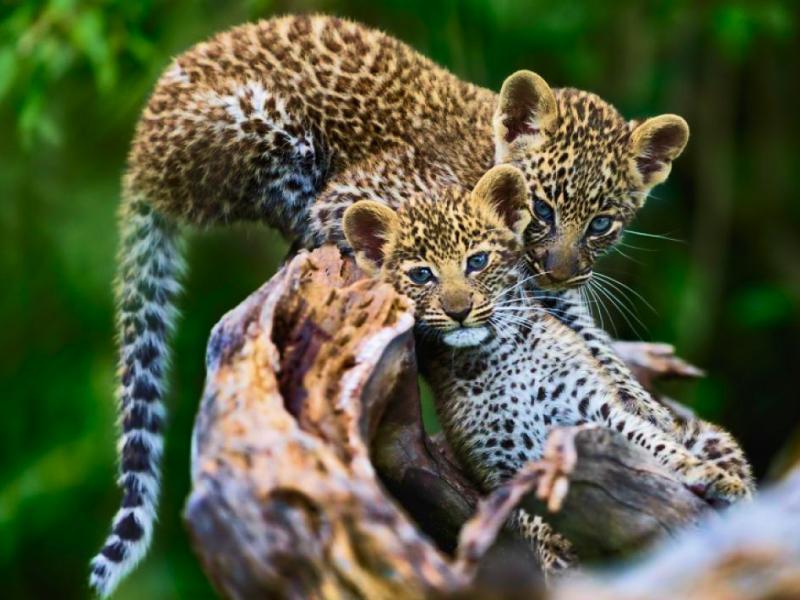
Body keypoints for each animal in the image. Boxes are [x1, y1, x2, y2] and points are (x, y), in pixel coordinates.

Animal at [93, 13, 693, 596]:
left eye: (602, 224)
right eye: (543, 208)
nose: (560, 268)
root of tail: (140, 153)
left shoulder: (548, 293)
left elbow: (596, 349)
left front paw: (655, 417)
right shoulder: (353, 196)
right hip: (264, 127)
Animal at [342, 164, 754, 577]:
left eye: (477, 261)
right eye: (422, 276)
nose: (458, 311)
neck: (494, 356)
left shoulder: (596, 409)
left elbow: (653, 442)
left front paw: (712, 477)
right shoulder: (497, 464)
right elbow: (525, 515)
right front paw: (558, 553)